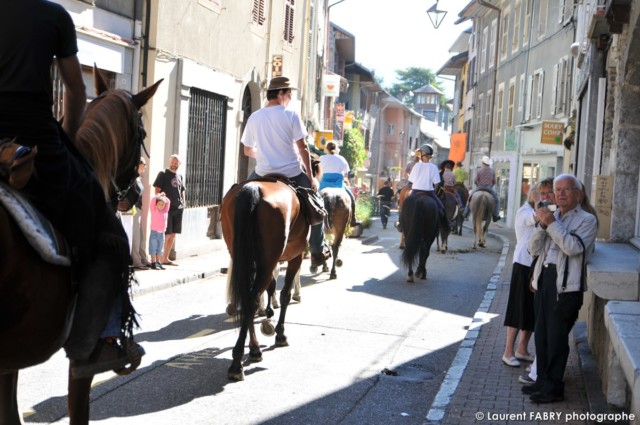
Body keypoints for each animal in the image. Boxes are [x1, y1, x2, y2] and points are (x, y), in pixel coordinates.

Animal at [220, 177, 310, 380]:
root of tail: (253, 188)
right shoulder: (296, 256)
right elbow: (285, 294)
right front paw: (280, 334)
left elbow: (271, 287)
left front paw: (269, 314)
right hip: (268, 258)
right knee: (252, 300)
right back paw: (237, 363)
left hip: (243, 255)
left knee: (248, 300)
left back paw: (253, 350)